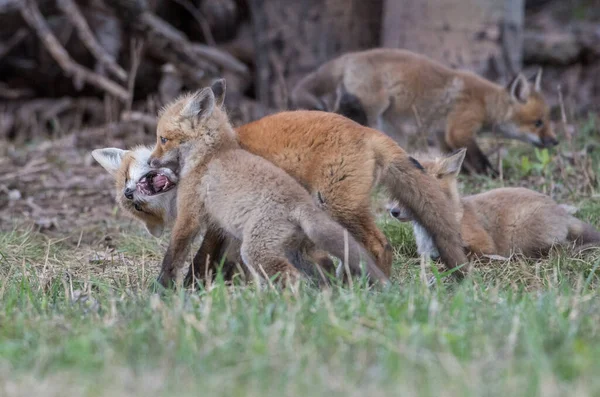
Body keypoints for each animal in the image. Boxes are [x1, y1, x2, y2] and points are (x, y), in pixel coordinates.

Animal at [290, 48, 556, 175]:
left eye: (547, 120)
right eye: (538, 122)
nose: (555, 142)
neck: (485, 102)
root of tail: (348, 56)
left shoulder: (442, 134)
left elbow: (454, 156)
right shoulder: (460, 129)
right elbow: (479, 157)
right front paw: (490, 174)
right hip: (377, 106)